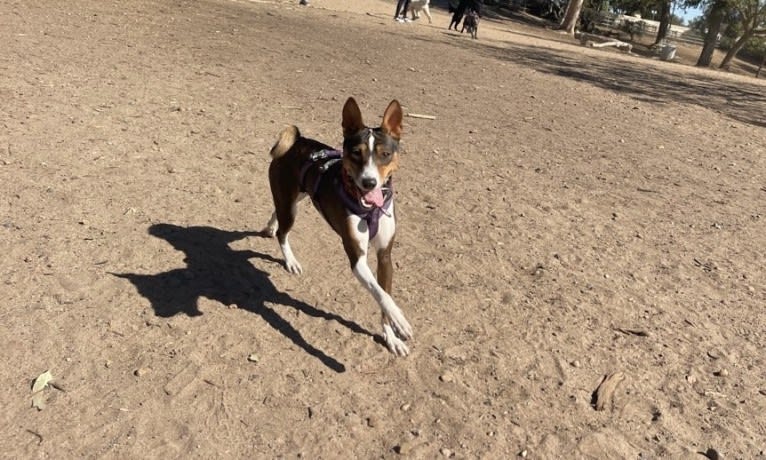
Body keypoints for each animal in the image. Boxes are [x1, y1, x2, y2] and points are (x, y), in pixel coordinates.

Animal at [268, 97, 416, 356]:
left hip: (296, 198)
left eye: (385, 154)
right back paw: (290, 260)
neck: (369, 210)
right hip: (291, 208)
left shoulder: (384, 256)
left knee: (277, 210)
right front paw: (400, 321)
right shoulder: (357, 257)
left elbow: (384, 296)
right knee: (283, 234)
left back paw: (269, 225)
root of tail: (298, 141)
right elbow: (382, 295)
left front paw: (391, 338)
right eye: (356, 153)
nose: (369, 182)